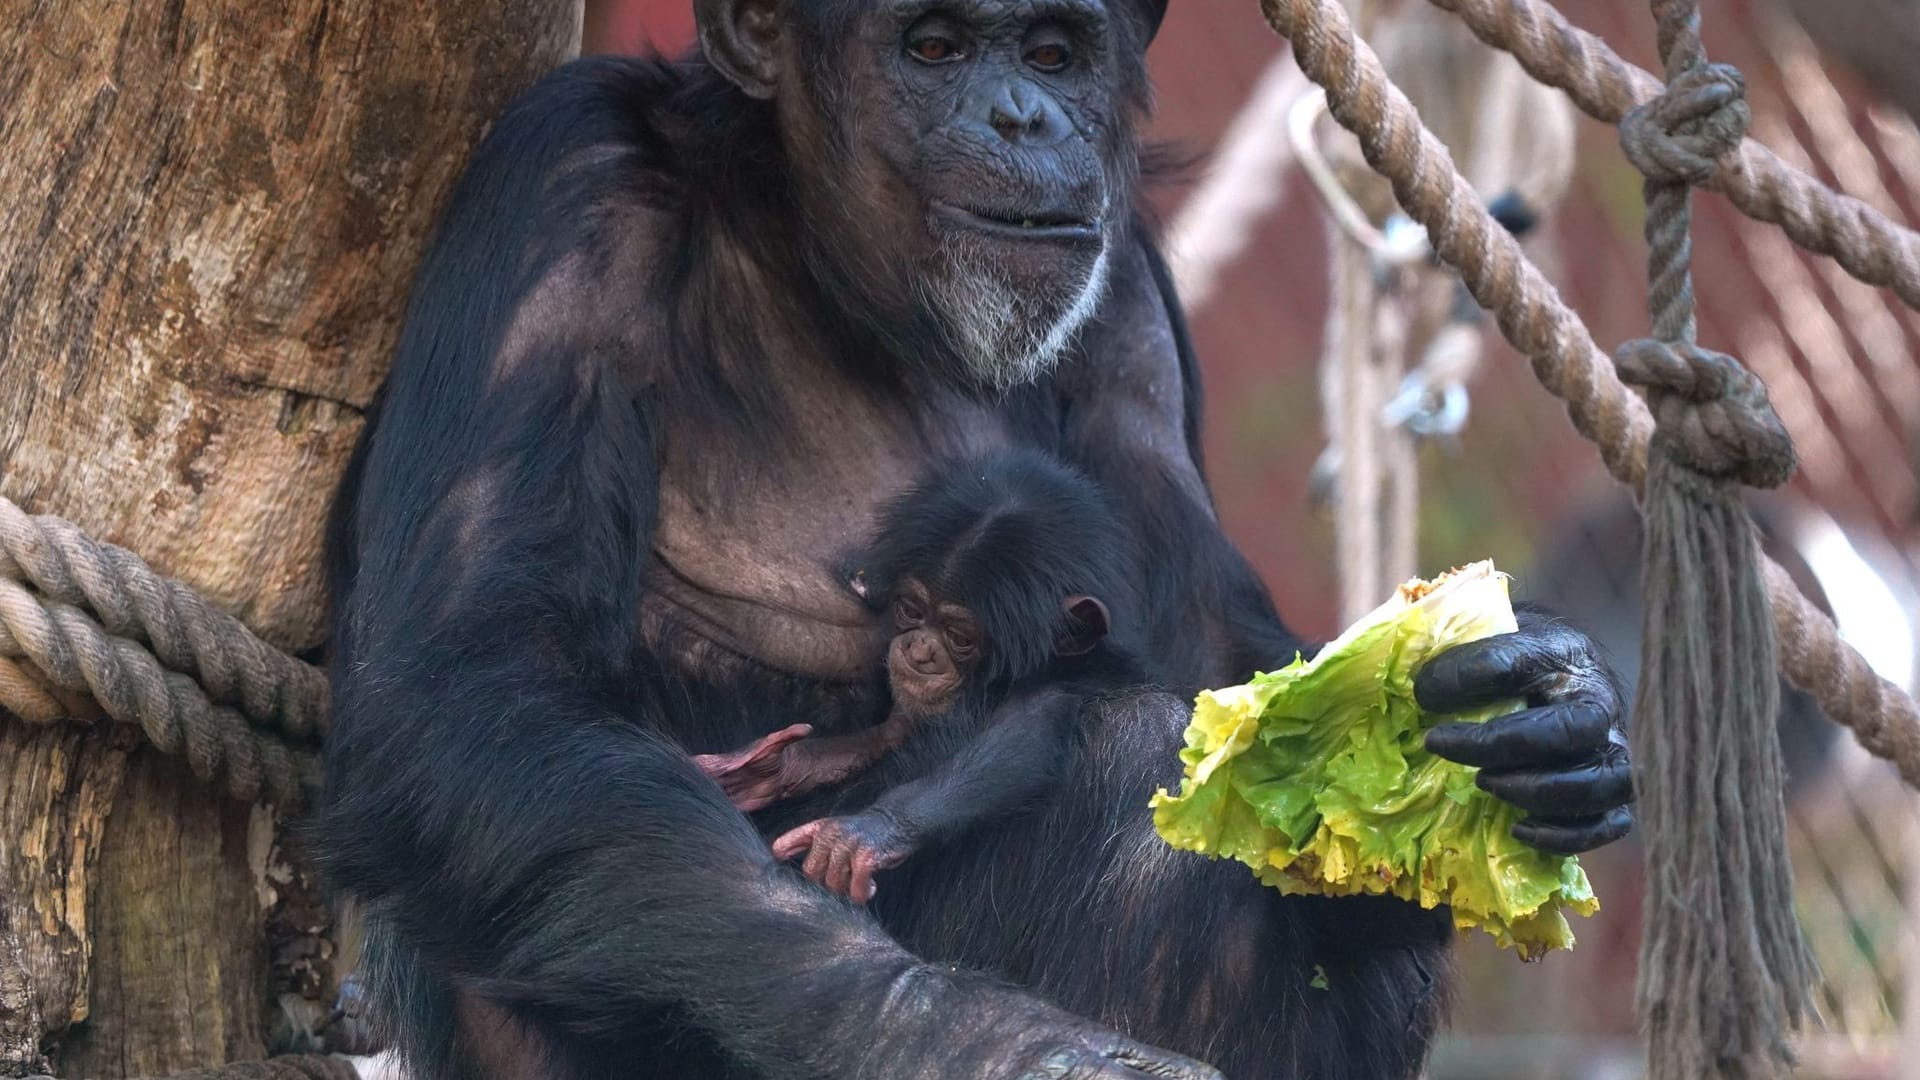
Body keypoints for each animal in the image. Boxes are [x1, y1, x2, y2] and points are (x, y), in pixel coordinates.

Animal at [695, 445, 1144, 899]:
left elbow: (1021, 739)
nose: (921, 650)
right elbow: (891, 732)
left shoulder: (1056, 684)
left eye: (960, 637)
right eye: (911, 610)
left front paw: (869, 833)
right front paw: (776, 767)